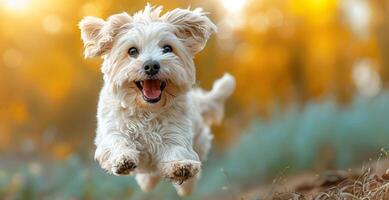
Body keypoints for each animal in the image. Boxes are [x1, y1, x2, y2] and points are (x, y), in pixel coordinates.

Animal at [79, 4, 233, 195]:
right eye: (132, 51)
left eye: (167, 49)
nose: (151, 65)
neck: (147, 110)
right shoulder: (112, 128)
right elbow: (117, 141)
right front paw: (123, 158)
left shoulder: (175, 132)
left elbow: (177, 150)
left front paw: (181, 166)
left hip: (200, 140)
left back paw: (184, 188)